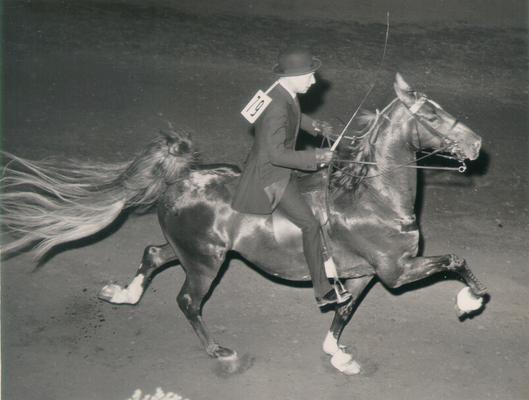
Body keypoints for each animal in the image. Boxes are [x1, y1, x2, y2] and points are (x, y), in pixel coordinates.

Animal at [1, 74, 486, 376]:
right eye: (433, 115)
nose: (478, 143)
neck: (372, 195)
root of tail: (178, 178)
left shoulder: (366, 274)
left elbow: (345, 312)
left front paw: (337, 355)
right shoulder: (397, 270)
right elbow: (457, 261)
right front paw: (469, 302)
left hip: (190, 250)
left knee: (153, 254)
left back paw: (122, 294)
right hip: (205, 263)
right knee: (187, 301)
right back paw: (218, 351)